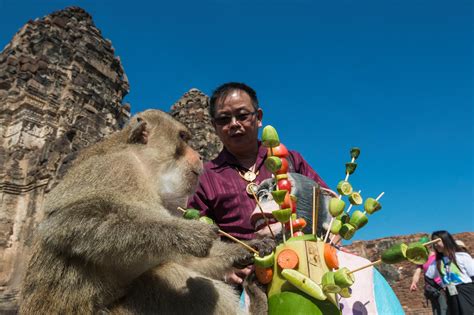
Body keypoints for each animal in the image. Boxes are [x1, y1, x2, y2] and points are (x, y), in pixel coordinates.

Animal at [20, 110, 272, 314]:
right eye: (183, 138)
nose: (199, 156)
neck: (146, 169)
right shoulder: (116, 168)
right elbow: (65, 219)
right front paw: (191, 233)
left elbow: (182, 257)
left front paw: (244, 249)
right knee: (171, 276)